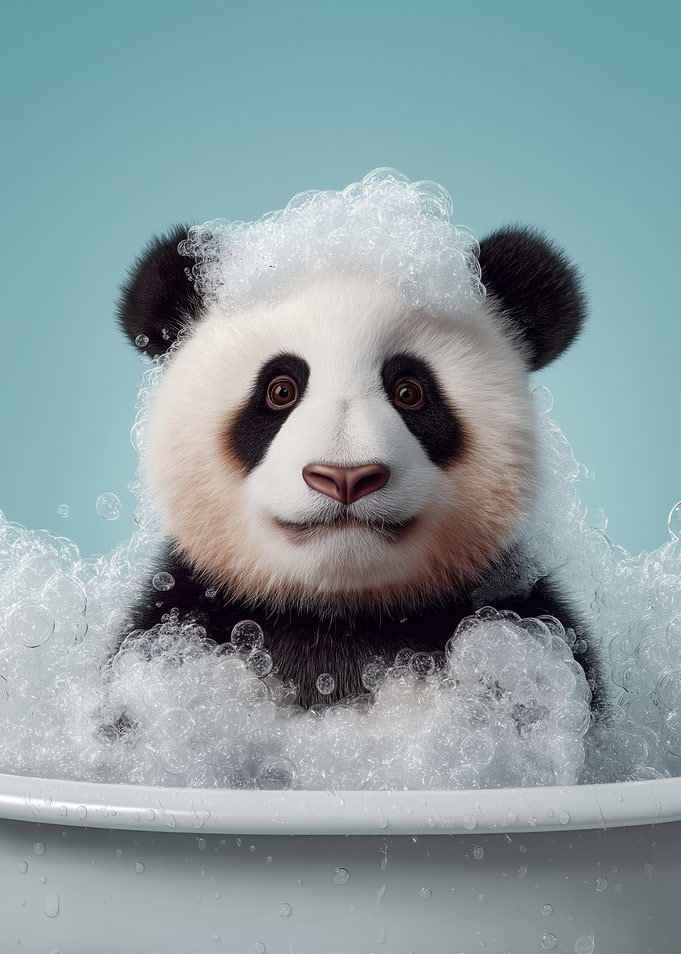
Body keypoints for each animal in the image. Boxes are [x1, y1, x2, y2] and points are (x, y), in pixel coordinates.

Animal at [113, 216, 601, 712]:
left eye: (409, 391)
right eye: (280, 390)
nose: (344, 477)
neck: (340, 617)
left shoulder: (531, 633)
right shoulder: (176, 631)